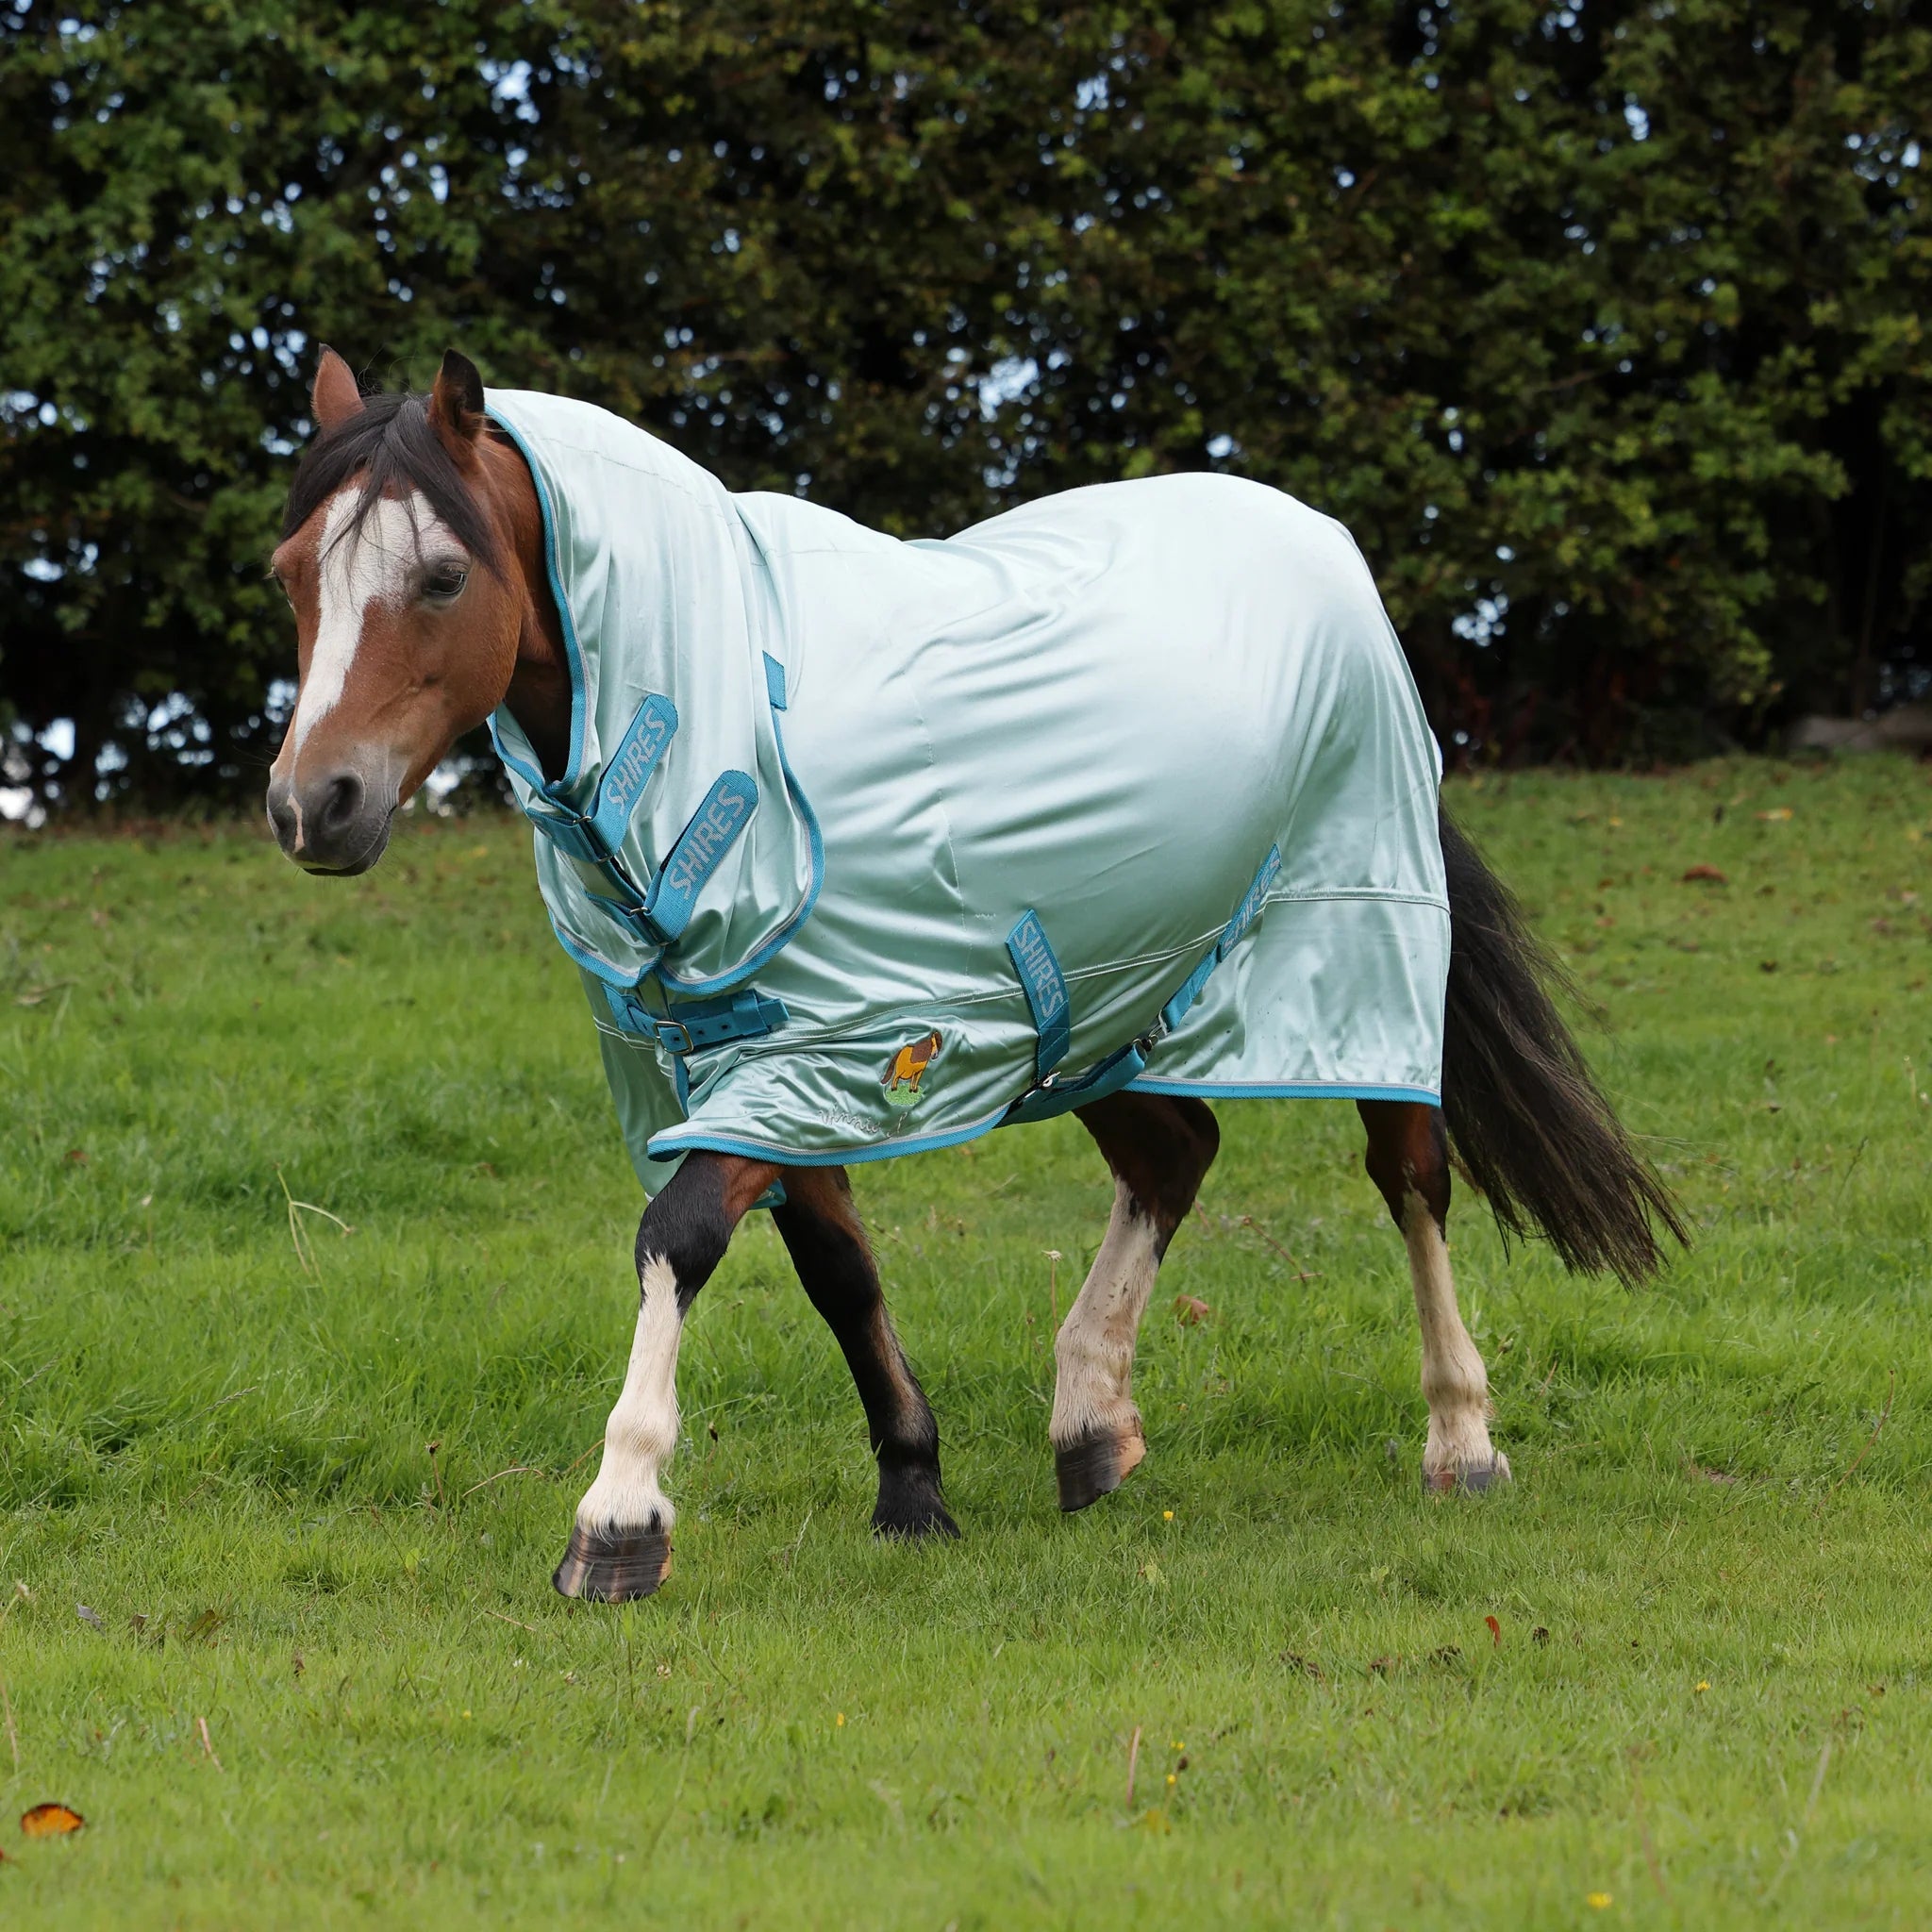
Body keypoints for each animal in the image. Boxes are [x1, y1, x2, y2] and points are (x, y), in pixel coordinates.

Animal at [266, 346, 1684, 1604]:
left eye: (443, 574)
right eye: (290, 575)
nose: (311, 803)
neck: (737, 706)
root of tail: (1321, 539)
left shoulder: (829, 1053)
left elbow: (678, 1235)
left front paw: (618, 1518)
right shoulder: (767, 1063)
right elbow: (835, 1272)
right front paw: (913, 1491)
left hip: (1364, 949)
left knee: (1410, 1175)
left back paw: (1461, 1440)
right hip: (1104, 999)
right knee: (1175, 1152)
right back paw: (1091, 1422)